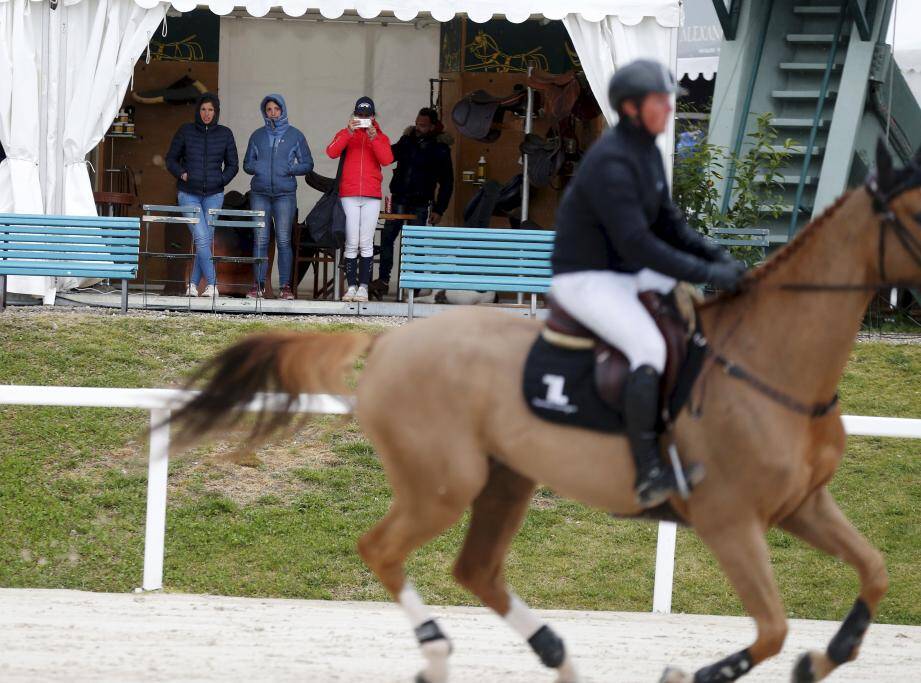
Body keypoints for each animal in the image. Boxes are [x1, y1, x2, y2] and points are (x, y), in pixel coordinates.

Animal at [167, 140, 920, 683]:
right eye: (916, 212)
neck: (769, 361)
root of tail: (391, 340)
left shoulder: (802, 504)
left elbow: (873, 572)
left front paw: (824, 656)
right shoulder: (729, 519)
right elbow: (770, 628)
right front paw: (693, 673)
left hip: (506, 479)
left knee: (475, 570)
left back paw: (555, 652)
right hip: (445, 485)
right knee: (384, 550)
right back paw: (438, 651)